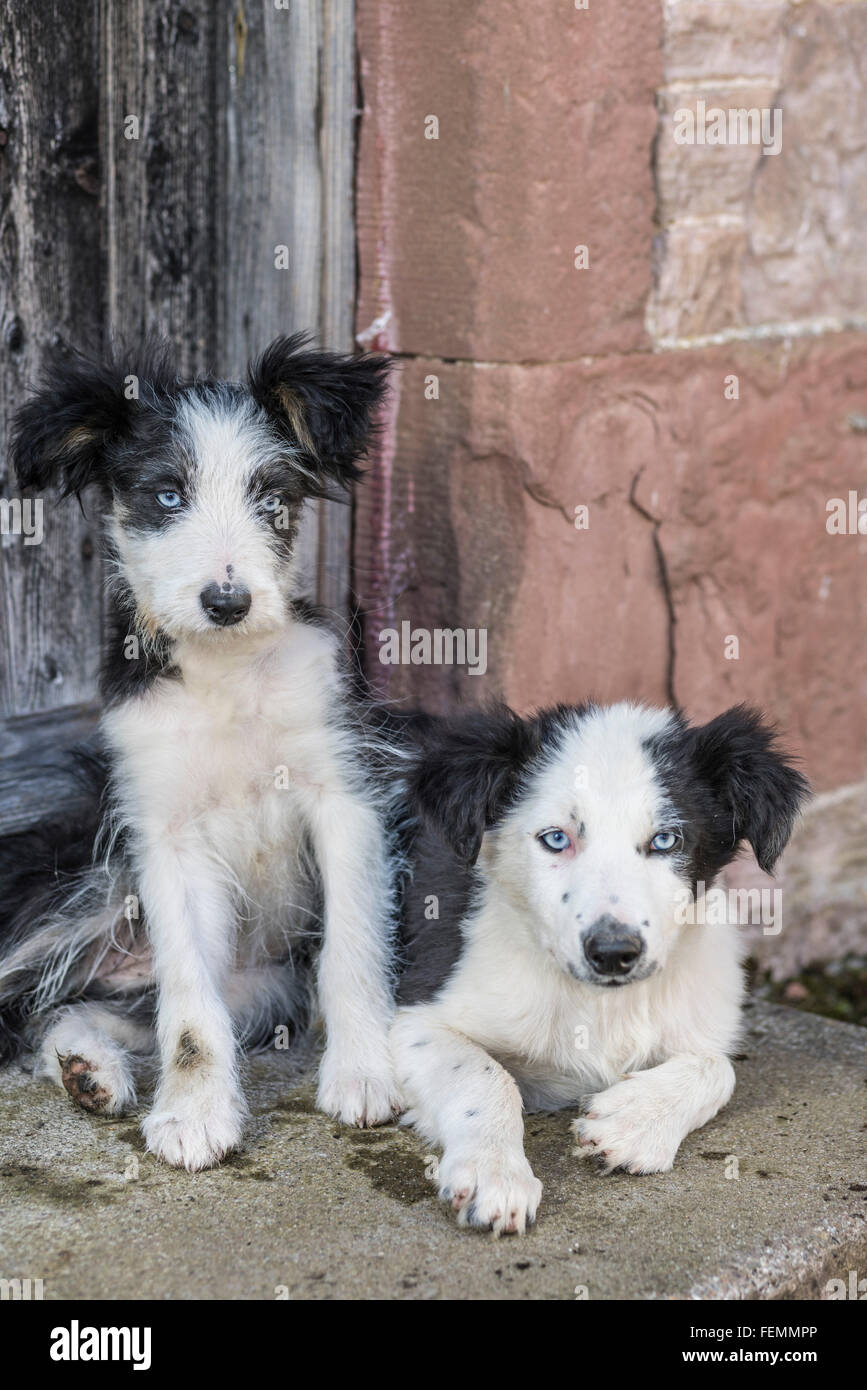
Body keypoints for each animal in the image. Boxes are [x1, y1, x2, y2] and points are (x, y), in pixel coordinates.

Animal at [0, 339, 400, 1173]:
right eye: (166, 496)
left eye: (270, 498)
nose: (226, 602)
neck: (228, 672)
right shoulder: (167, 834)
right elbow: (188, 1012)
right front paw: (193, 1113)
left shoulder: (343, 793)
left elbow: (350, 947)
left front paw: (363, 1073)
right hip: (84, 882)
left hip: (256, 986)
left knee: (68, 1008)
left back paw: (88, 1068)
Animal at [397, 700, 811, 1234]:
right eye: (556, 839)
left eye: (665, 840)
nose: (614, 953)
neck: (600, 1003)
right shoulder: (416, 1018)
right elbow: (484, 1074)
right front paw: (495, 1173)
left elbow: (719, 1068)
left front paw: (632, 1120)